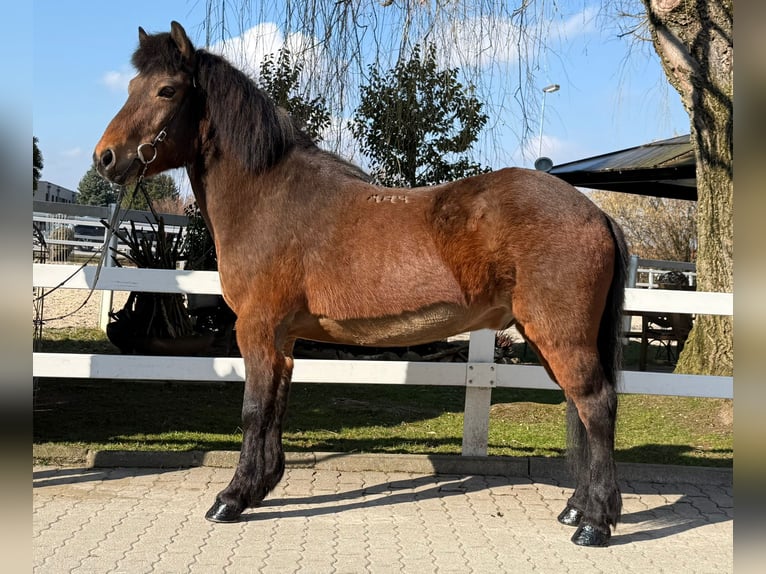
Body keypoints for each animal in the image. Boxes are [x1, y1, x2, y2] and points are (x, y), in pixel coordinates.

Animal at [94, 21, 629, 547]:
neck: (269, 199)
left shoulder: (256, 330)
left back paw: (594, 524)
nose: (106, 158)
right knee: (580, 408)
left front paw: (232, 499)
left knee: (596, 406)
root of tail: (596, 213)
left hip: (561, 336)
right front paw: (261, 485)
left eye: (167, 90)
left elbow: (252, 410)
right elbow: (275, 407)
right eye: (131, 86)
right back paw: (575, 508)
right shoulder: (283, 339)